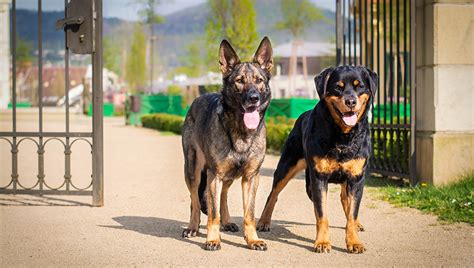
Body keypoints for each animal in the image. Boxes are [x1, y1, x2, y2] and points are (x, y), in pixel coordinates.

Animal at [182, 36, 274, 250]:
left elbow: (249, 214)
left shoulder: (251, 177)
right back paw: (192, 227)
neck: (241, 132)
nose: (254, 98)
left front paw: (252, 239)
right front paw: (212, 239)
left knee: (222, 195)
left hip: (228, 176)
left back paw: (228, 221)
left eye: (259, 81)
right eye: (239, 81)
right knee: (195, 200)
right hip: (193, 171)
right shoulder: (214, 175)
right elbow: (212, 214)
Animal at [258, 65, 376, 253]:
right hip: (287, 165)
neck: (343, 136)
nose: (351, 101)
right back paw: (263, 221)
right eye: (338, 87)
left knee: (345, 199)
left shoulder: (356, 177)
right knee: (273, 194)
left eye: (360, 86)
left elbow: (352, 211)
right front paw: (322, 242)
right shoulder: (319, 177)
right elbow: (321, 213)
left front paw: (354, 241)